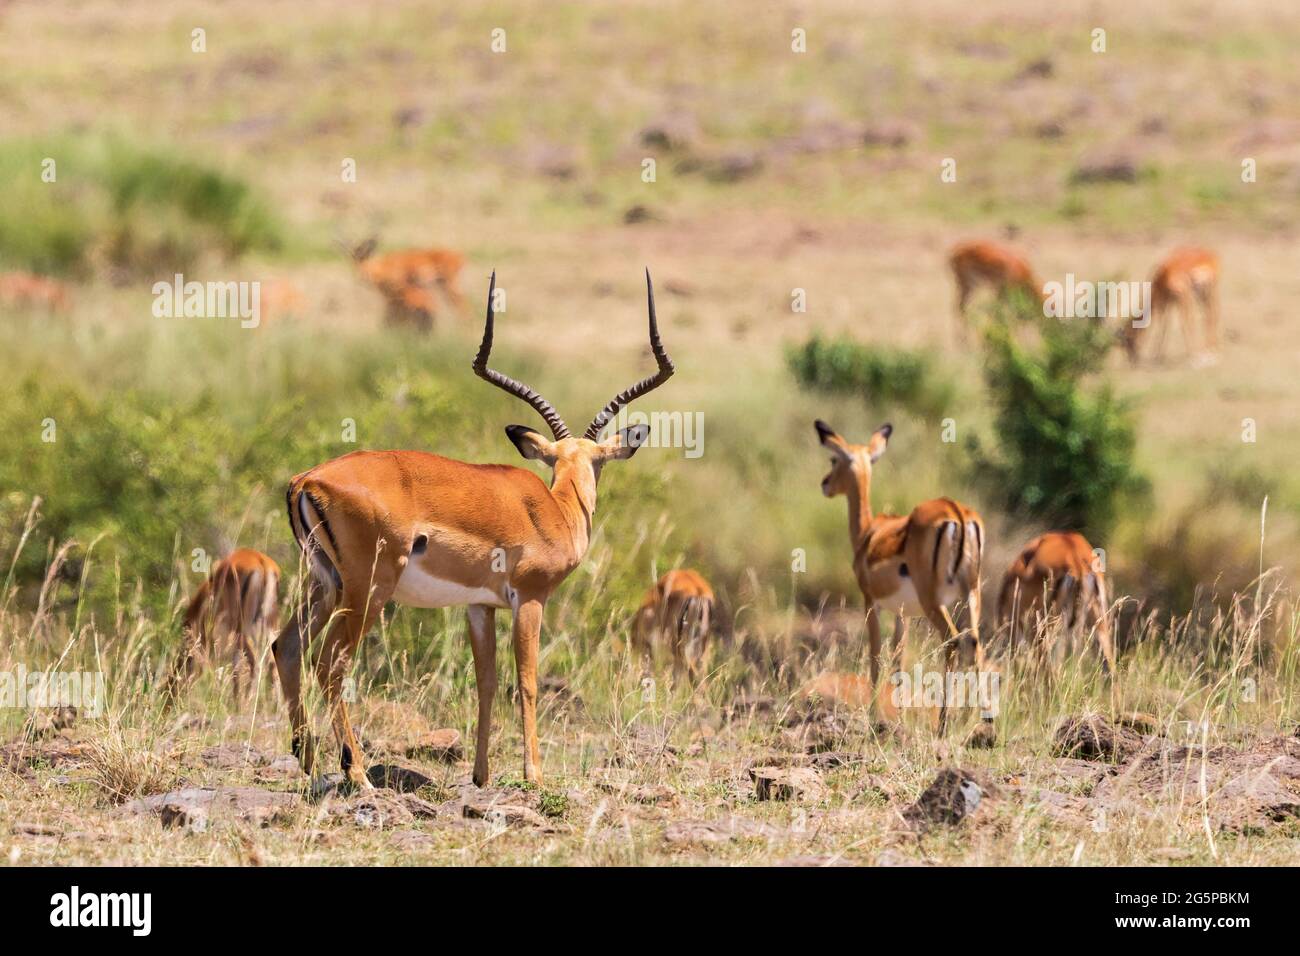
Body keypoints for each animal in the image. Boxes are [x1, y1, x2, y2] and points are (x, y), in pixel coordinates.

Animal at [272, 270, 675, 788]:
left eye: (591, 461)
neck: (554, 508)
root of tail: (307, 479)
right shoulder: (530, 599)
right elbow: (525, 682)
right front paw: (534, 775)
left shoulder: (478, 607)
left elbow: (485, 683)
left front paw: (482, 775)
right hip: (368, 590)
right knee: (329, 663)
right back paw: (357, 772)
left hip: (325, 583)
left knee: (286, 647)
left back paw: (307, 760)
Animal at [815, 420, 986, 733]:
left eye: (834, 459)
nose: (825, 483)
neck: (869, 533)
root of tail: (957, 512)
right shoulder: (903, 613)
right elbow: (898, 661)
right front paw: (899, 716)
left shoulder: (870, 602)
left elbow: (875, 656)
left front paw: (875, 715)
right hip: (971, 593)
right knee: (975, 644)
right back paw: (976, 719)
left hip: (933, 601)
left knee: (953, 641)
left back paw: (944, 723)